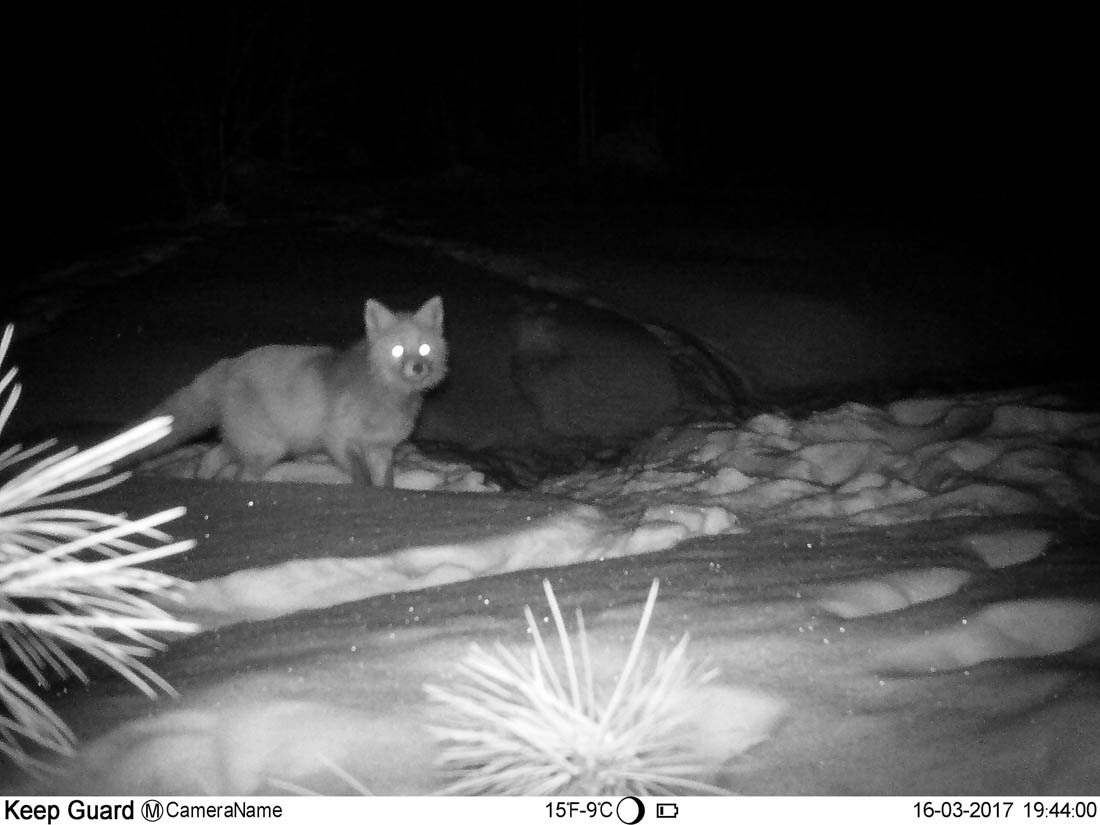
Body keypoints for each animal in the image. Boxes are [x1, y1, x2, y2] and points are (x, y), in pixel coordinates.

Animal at [132, 297, 446, 488]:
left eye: (424, 349)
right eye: (397, 350)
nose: (418, 367)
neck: (384, 393)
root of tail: (229, 364)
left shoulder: (380, 448)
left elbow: (385, 482)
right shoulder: (338, 438)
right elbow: (361, 477)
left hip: (247, 445)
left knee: (212, 457)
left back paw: (203, 481)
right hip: (267, 450)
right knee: (240, 477)